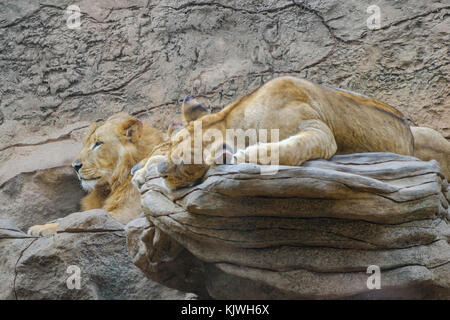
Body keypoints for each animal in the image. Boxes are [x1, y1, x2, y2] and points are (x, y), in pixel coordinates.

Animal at [26, 112, 163, 235]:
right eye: (85, 143)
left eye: (98, 143)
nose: (75, 166)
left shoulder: (124, 217)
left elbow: (76, 222)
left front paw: (39, 228)